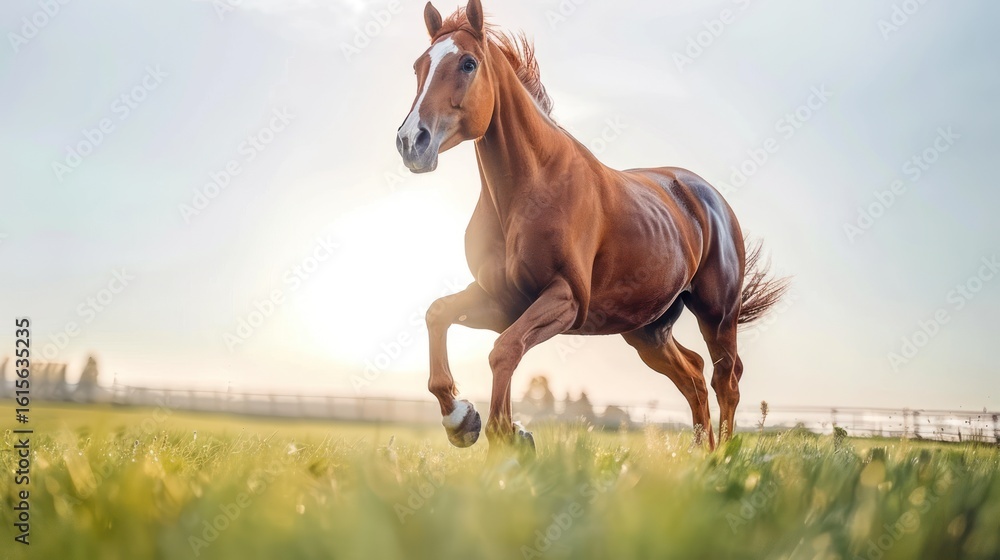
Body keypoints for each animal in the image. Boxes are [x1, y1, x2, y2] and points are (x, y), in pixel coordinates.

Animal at [395, 0, 787, 454]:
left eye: (468, 63)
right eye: (418, 65)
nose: (411, 142)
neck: (532, 187)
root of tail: (713, 201)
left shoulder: (566, 299)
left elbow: (503, 350)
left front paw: (502, 435)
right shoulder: (501, 301)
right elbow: (439, 315)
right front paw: (464, 420)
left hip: (717, 315)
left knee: (726, 380)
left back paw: (720, 456)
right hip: (648, 332)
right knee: (692, 374)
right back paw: (698, 455)